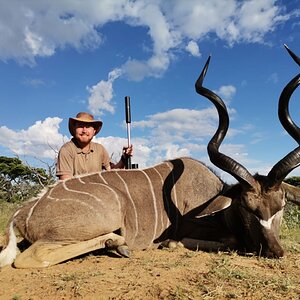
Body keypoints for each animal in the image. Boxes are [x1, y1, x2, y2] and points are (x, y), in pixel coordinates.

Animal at [0, 44, 298, 268]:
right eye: (247, 208)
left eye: (281, 205)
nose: (275, 252)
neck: (215, 200)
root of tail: (22, 212)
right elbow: (219, 241)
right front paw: (166, 243)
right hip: (104, 215)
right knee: (28, 258)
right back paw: (117, 243)